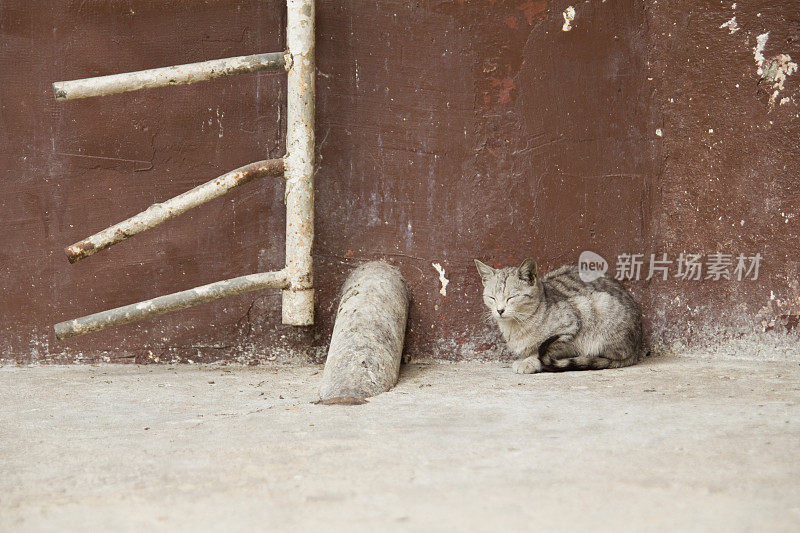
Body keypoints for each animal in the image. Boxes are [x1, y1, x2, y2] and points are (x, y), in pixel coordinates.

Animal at [476, 258, 644, 374]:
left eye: (511, 297)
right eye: (492, 298)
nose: (500, 310)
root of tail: (636, 349)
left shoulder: (570, 327)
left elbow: (543, 350)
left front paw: (529, 361)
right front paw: (525, 358)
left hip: (601, 306)